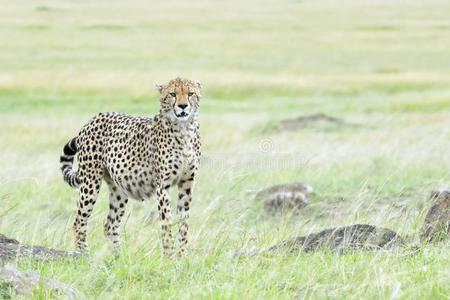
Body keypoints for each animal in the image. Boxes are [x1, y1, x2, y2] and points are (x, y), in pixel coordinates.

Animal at [59, 77, 202, 255]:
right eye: (173, 94)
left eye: (190, 93)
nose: (183, 106)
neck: (184, 129)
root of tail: (95, 117)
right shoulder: (163, 185)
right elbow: (166, 222)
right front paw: (169, 255)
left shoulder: (187, 183)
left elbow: (184, 223)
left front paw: (183, 255)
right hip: (90, 182)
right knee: (79, 221)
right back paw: (85, 255)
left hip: (119, 188)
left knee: (109, 224)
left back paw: (118, 256)